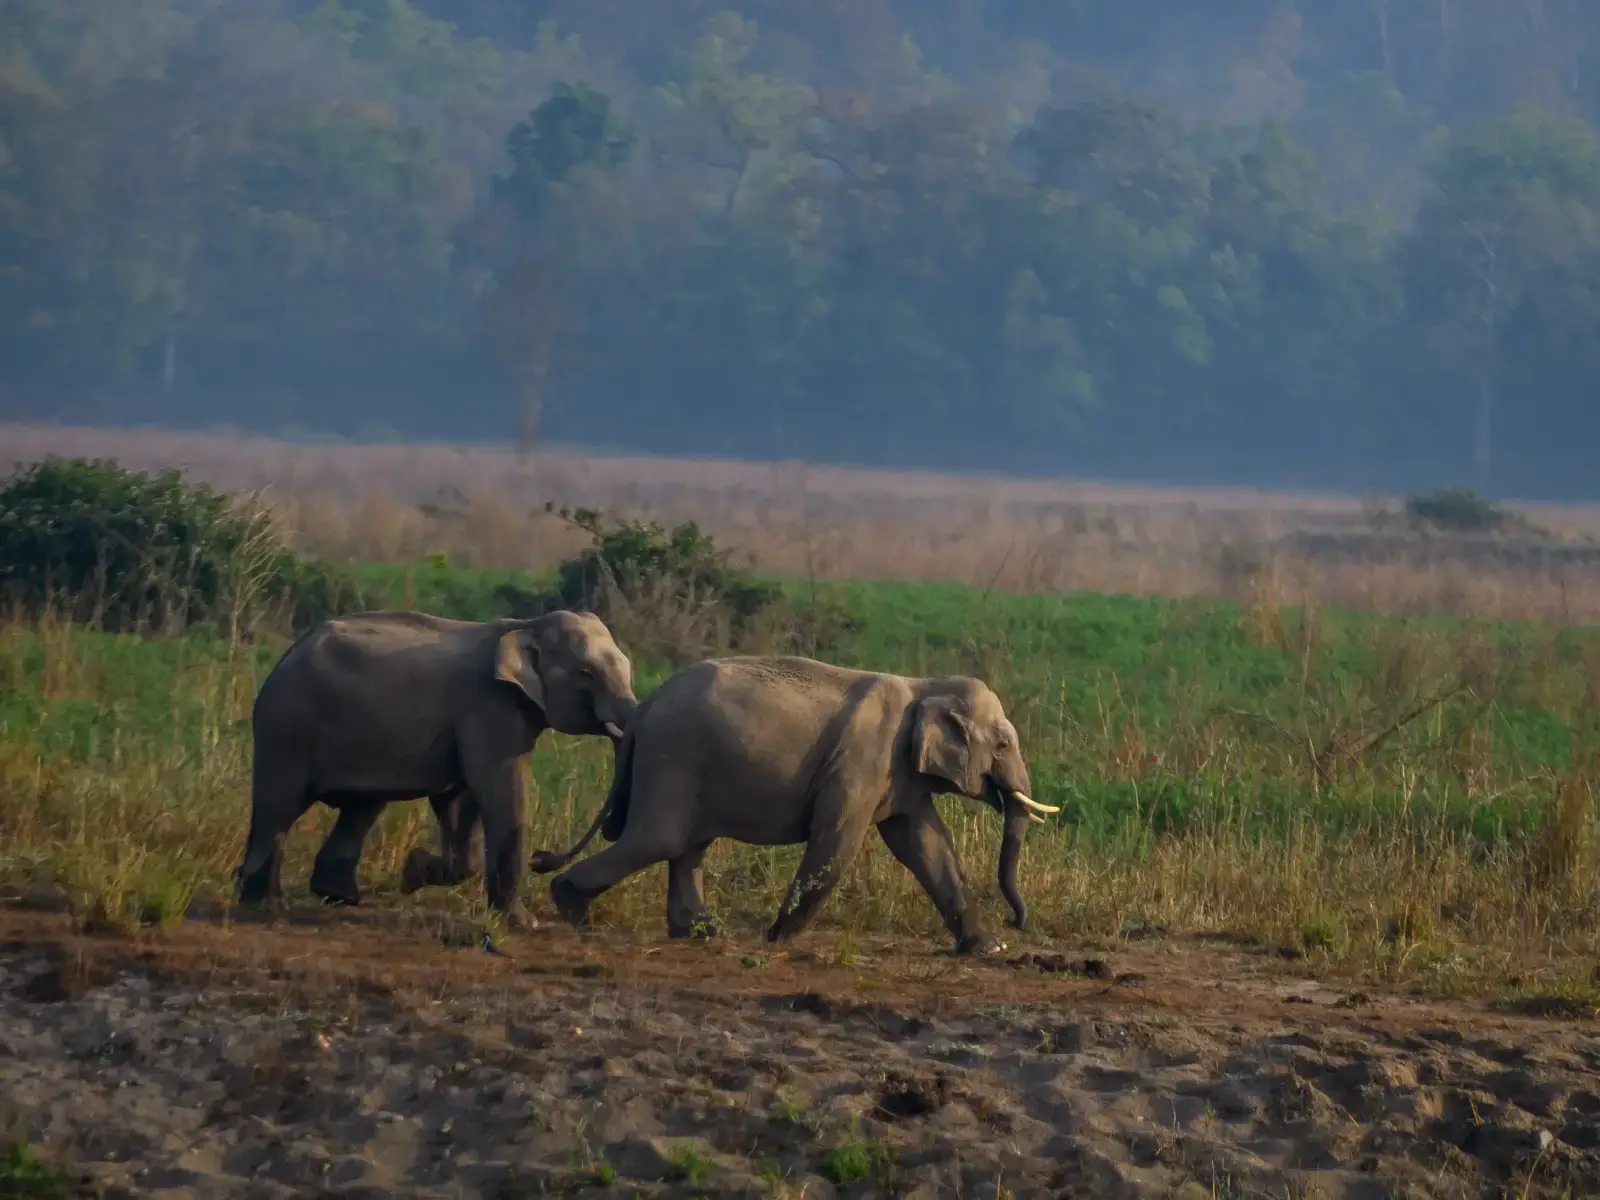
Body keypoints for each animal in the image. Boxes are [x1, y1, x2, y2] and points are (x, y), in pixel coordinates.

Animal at [236, 611, 636, 928]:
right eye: (586, 673)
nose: (541, 858)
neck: (527, 625)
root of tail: (285, 657)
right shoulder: (489, 706)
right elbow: (499, 793)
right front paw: (523, 924)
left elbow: (460, 801)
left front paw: (413, 872)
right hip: (286, 725)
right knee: (279, 807)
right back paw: (265, 905)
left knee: (361, 808)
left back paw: (338, 897)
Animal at [528, 659, 1062, 960]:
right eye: (1003, 744)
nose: (1016, 923)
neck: (924, 684)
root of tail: (644, 707)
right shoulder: (863, 760)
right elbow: (837, 838)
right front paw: (777, 938)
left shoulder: (900, 774)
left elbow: (925, 845)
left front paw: (988, 948)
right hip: (672, 757)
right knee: (661, 838)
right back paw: (572, 907)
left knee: (686, 844)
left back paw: (701, 934)